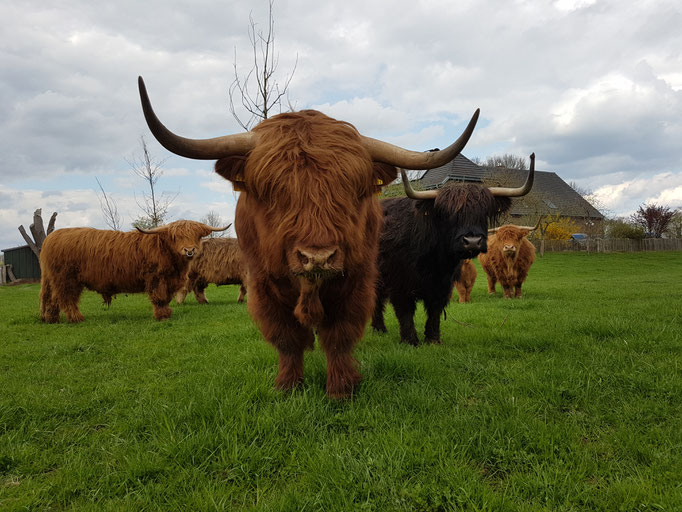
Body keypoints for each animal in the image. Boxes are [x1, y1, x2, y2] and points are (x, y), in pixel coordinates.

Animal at [39, 219, 226, 322]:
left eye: (196, 235)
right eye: (175, 237)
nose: (189, 250)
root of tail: (51, 238)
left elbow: (166, 298)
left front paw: (166, 312)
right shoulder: (156, 278)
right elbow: (159, 298)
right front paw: (162, 316)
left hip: (52, 278)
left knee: (50, 298)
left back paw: (51, 319)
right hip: (67, 279)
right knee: (66, 298)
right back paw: (76, 318)